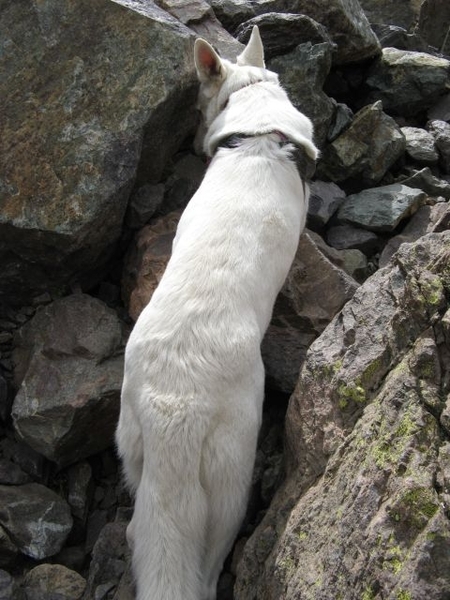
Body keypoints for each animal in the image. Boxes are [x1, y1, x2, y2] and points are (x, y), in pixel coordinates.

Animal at [116, 25, 320, 600]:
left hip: (133, 448)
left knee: (140, 527)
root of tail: (173, 408)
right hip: (231, 471)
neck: (256, 123)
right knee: (208, 557)